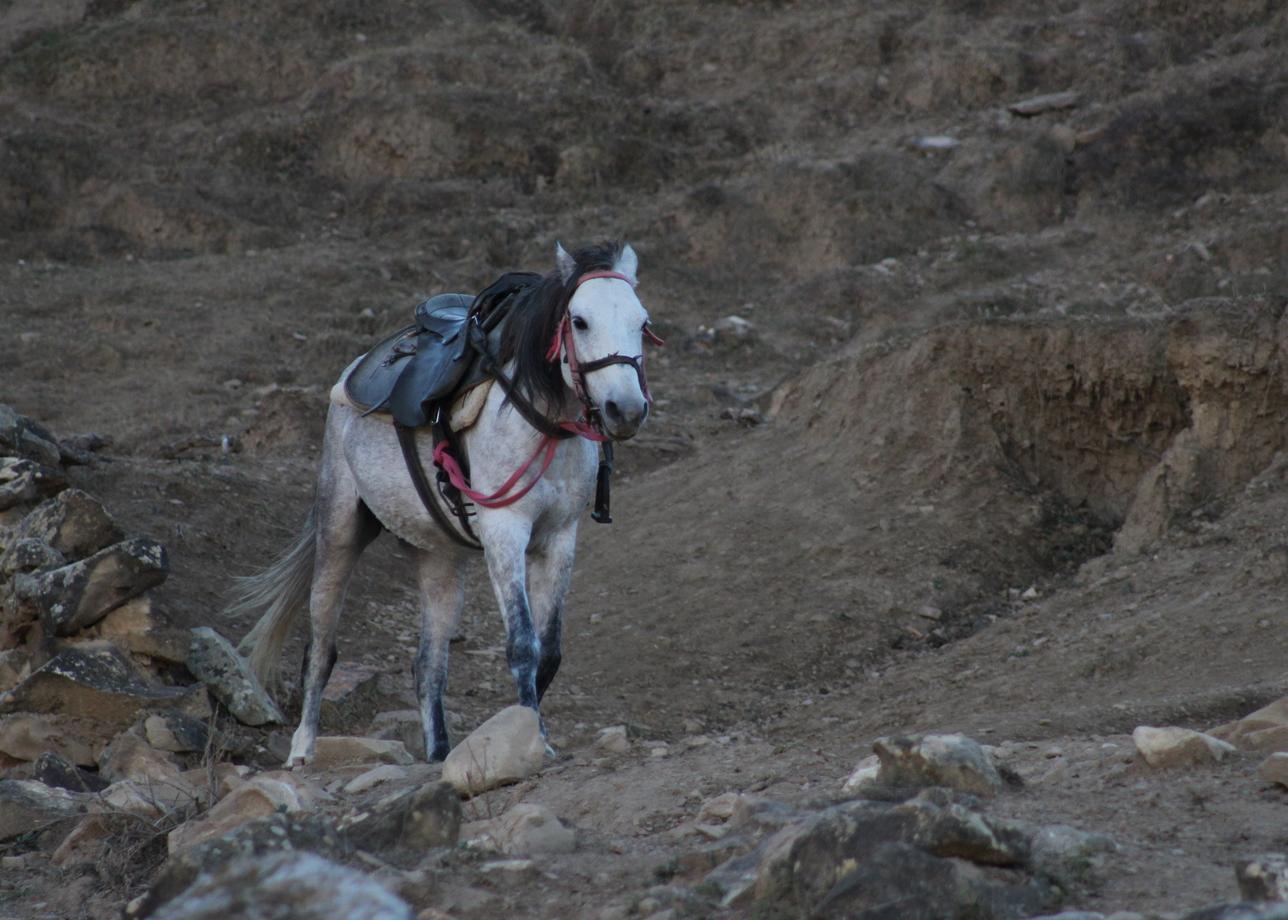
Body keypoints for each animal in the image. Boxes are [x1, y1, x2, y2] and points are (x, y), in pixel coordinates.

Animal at [227, 239, 659, 762]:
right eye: (579, 321)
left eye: (642, 322)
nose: (627, 410)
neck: (539, 419)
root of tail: (353, 371)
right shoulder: (504, 531)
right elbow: (523, 645)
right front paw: (532, 740)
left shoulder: (559, 538)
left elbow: (550, 650)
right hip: (339, 530)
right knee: (321, 649)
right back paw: (302, 751)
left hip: (441, 560)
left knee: (428, 665)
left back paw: (438, 754)